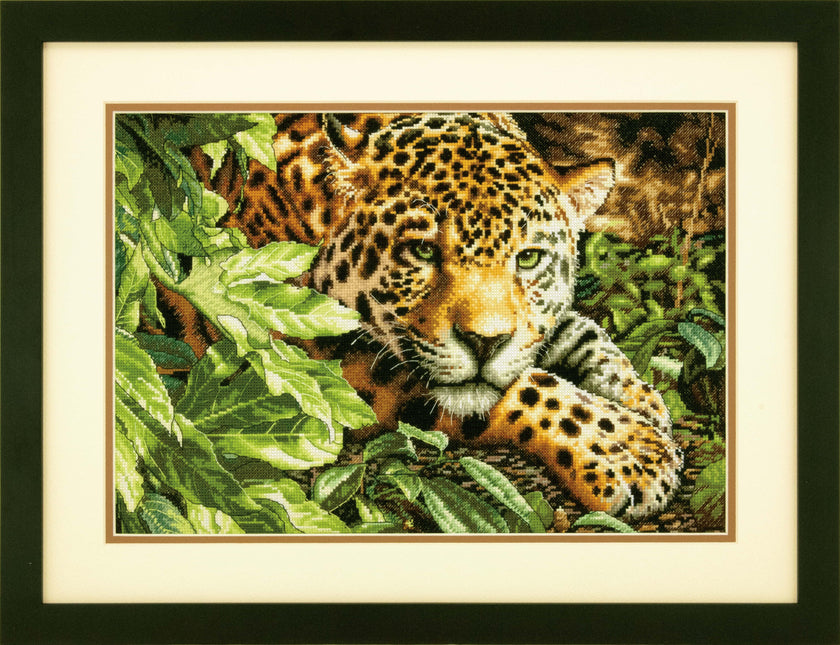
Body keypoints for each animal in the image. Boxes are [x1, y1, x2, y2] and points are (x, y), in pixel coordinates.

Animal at [182, 111, 683, 519]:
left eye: (528, 259)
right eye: (423, 251)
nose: (485, 343)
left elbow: (581, 334)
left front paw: (644, 403)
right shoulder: (301, 355)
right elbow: (529, 387)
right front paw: (631, 450)